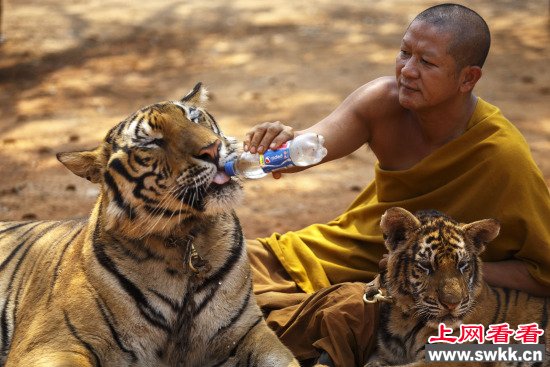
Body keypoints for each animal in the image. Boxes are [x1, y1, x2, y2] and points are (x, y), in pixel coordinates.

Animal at [0, 84, 300, 367]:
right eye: (152, 142)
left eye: (194, 117)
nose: (213, 149)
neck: (185, 236)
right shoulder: (52, 342)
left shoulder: (248, 332)